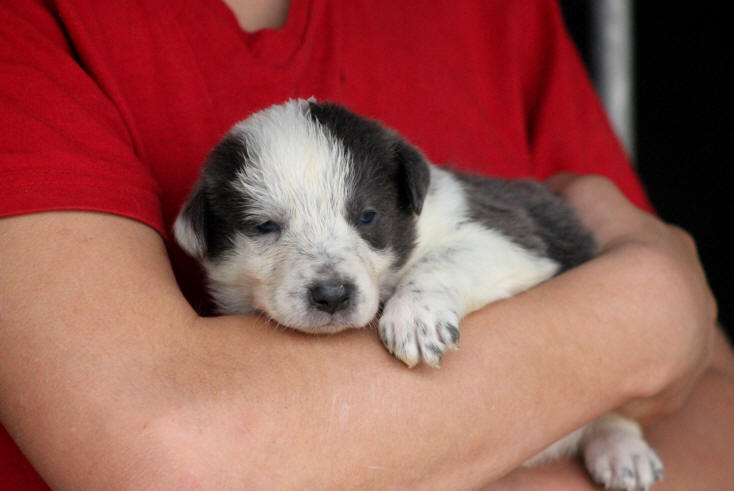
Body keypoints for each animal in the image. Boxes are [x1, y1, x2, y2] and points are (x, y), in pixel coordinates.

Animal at [175, 98, 664, 490]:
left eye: (367, 216)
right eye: (264, 227)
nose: (332, 295)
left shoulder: (511, 238)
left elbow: (442, 260)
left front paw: (415, 317)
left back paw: (622, 448)